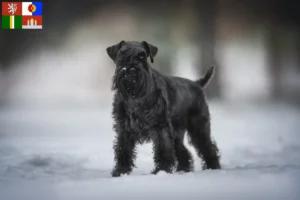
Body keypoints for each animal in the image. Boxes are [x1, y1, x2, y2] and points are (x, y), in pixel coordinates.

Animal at [106, 40, 220, 177]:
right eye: (122, 54)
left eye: (142, 56)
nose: (132, 69)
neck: (135, 96)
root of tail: (197, 84)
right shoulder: (124, 129)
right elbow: (123, 150)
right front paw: (120, 172)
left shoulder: (160, 127)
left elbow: (163, 149)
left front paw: (161, 170)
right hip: (177, 132)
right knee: (183, 151)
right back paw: (183, 169)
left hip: (199, 128)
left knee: (208, 147)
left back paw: (213, 168)